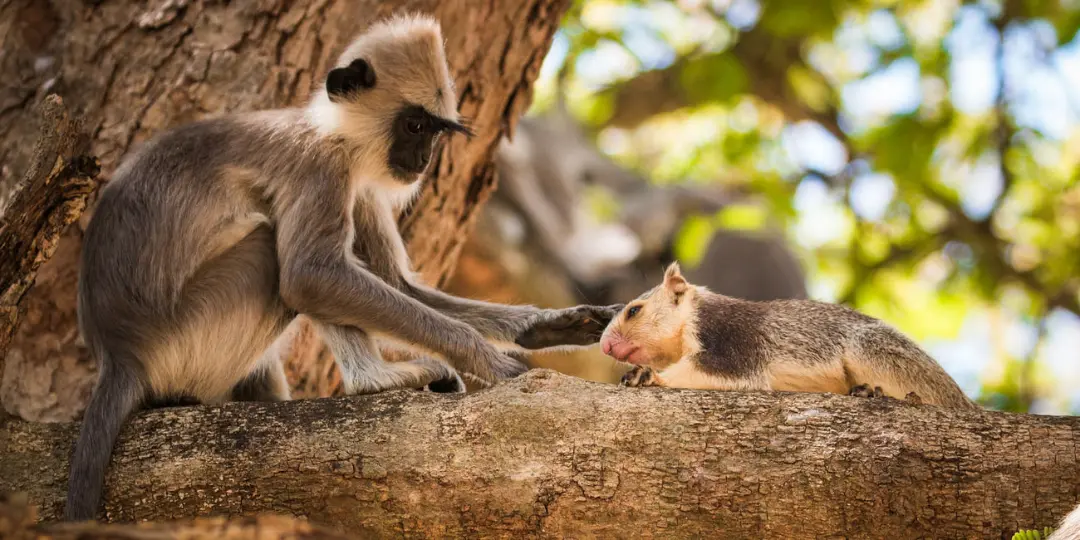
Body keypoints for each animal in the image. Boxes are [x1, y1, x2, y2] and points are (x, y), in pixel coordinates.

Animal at [599, 262, 979, 409]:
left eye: (634, 311)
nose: (604, 345)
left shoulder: (731, 336)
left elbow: (726, 372)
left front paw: (649, 376)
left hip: (874, 350)